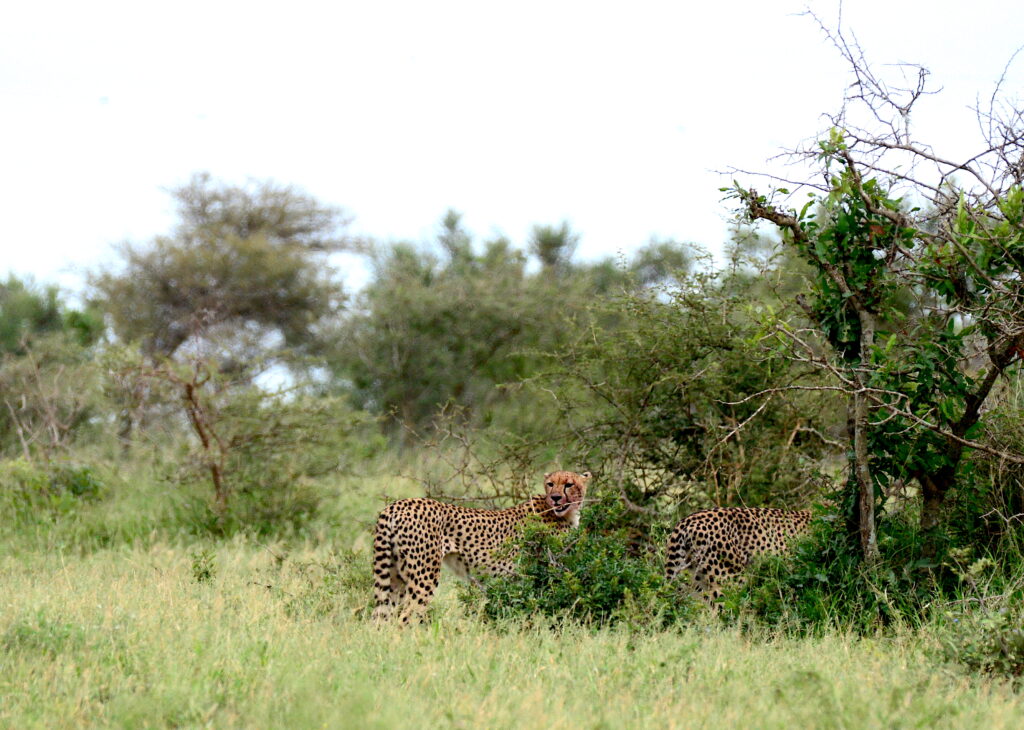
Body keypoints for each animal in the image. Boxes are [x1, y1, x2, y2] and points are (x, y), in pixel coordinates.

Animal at [372, 466, 593, 622]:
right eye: (550, 483)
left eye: (569, 484)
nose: (555, 497)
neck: (564, 513)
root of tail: (397, 504)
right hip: (424, 576)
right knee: (406, 617)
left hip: (394, 578)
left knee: (381, 619)